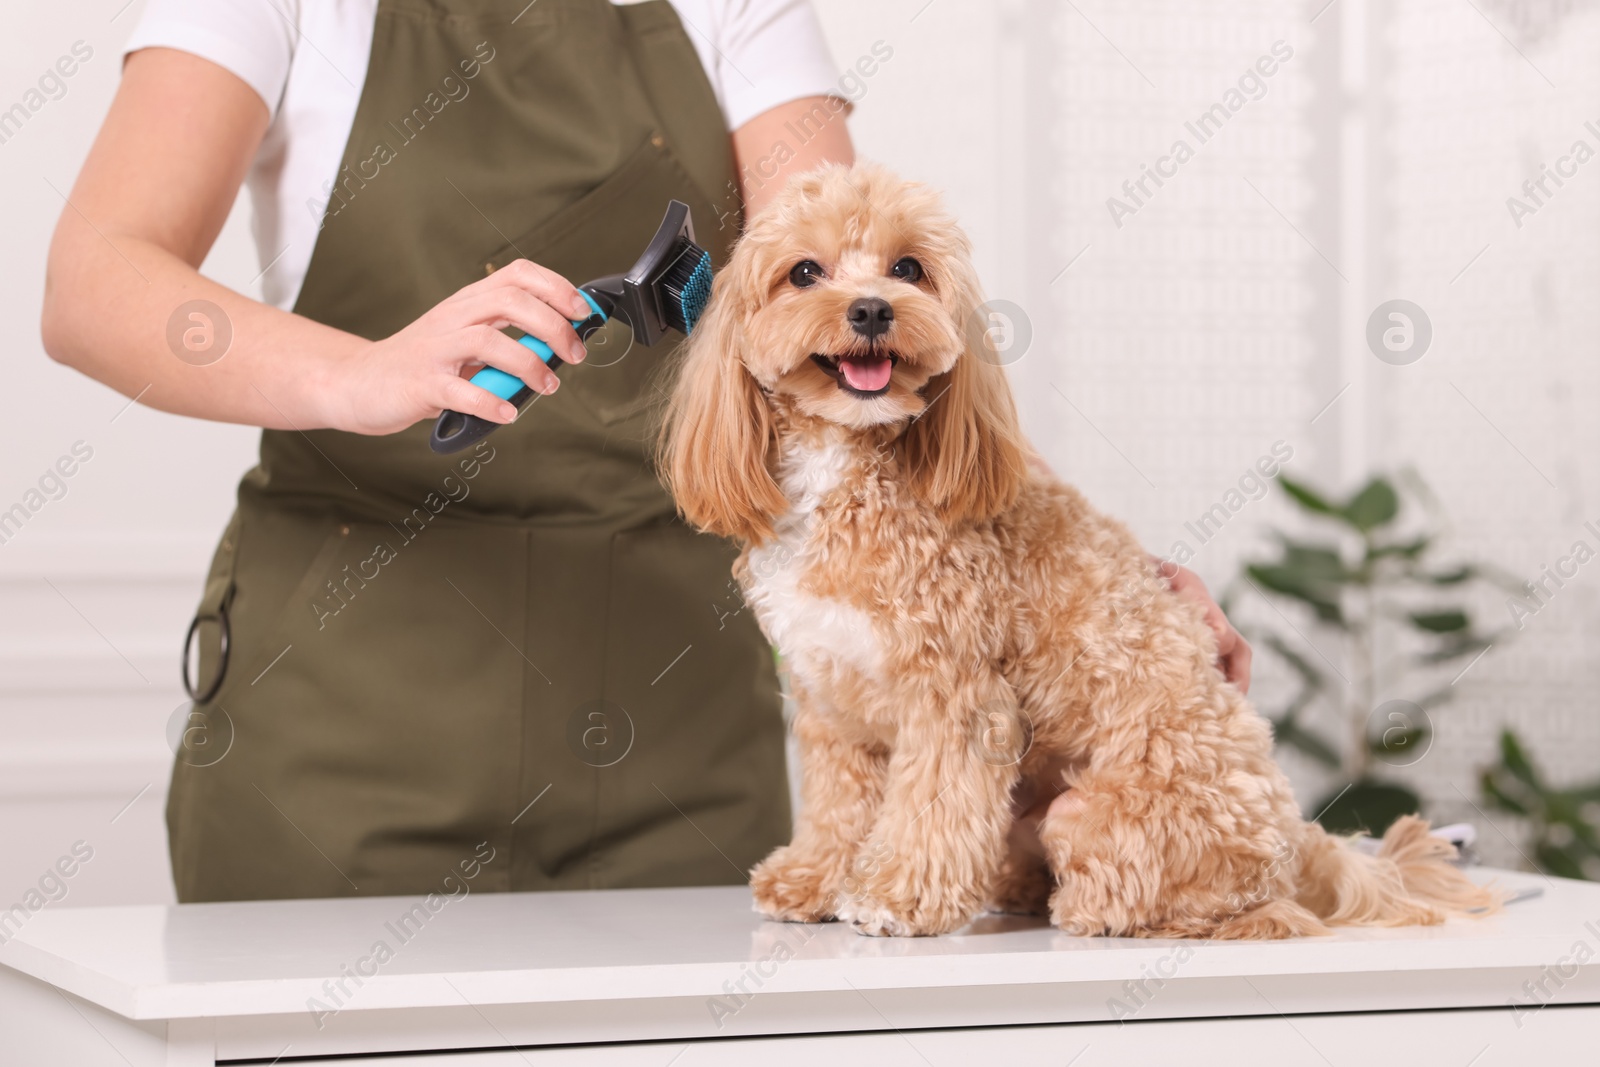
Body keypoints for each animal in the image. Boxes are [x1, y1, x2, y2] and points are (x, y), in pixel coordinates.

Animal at [659, 163, 1497, 940]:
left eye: (908, 268)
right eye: (805, 272)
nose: (871, 309)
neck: (850, 468)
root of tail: (1298, 838)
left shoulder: (957, 695)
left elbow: (931, 803)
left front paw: (899, 895)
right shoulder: (830, 699)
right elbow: (839, 804)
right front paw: (814, 878)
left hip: (1102, 814)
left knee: (1211, 903)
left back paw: (1089, 905)